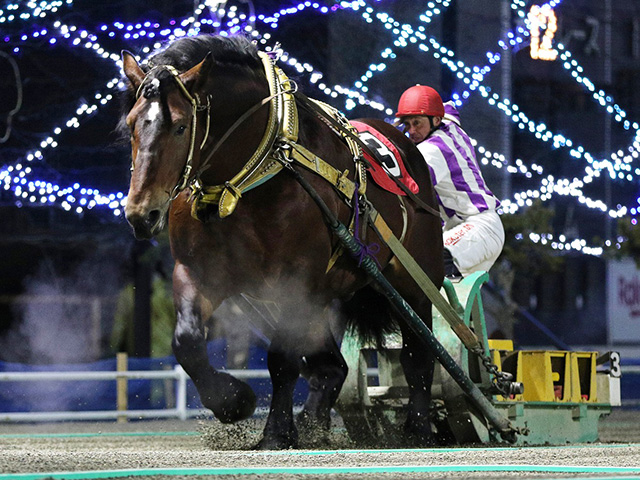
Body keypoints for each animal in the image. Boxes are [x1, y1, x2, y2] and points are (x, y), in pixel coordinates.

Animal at [120, 34, 442, 450]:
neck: (251, 179)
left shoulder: (296, 280)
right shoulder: (196, 272)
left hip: (413, 282)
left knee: (418, 353)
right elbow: (187, 342)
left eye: (179, 126)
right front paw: (233, 401)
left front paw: (275, 431)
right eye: (131, 125)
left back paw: (418, 427)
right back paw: (314, 423)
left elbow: (282, 359)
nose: (141, 213)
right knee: (331, 367)